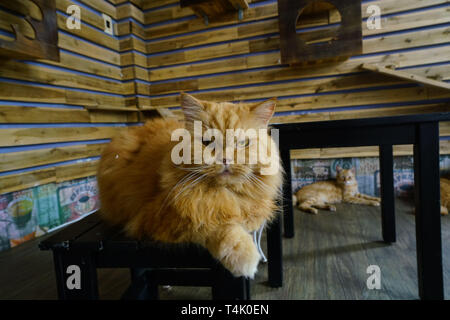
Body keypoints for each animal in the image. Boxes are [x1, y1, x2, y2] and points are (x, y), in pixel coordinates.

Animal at [97, 92, 284, 278]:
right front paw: (243, 256)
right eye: (207, 142)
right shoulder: (164, 218)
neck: (223, 192)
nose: (225, 159)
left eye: (243, 143)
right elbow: (215, 225)